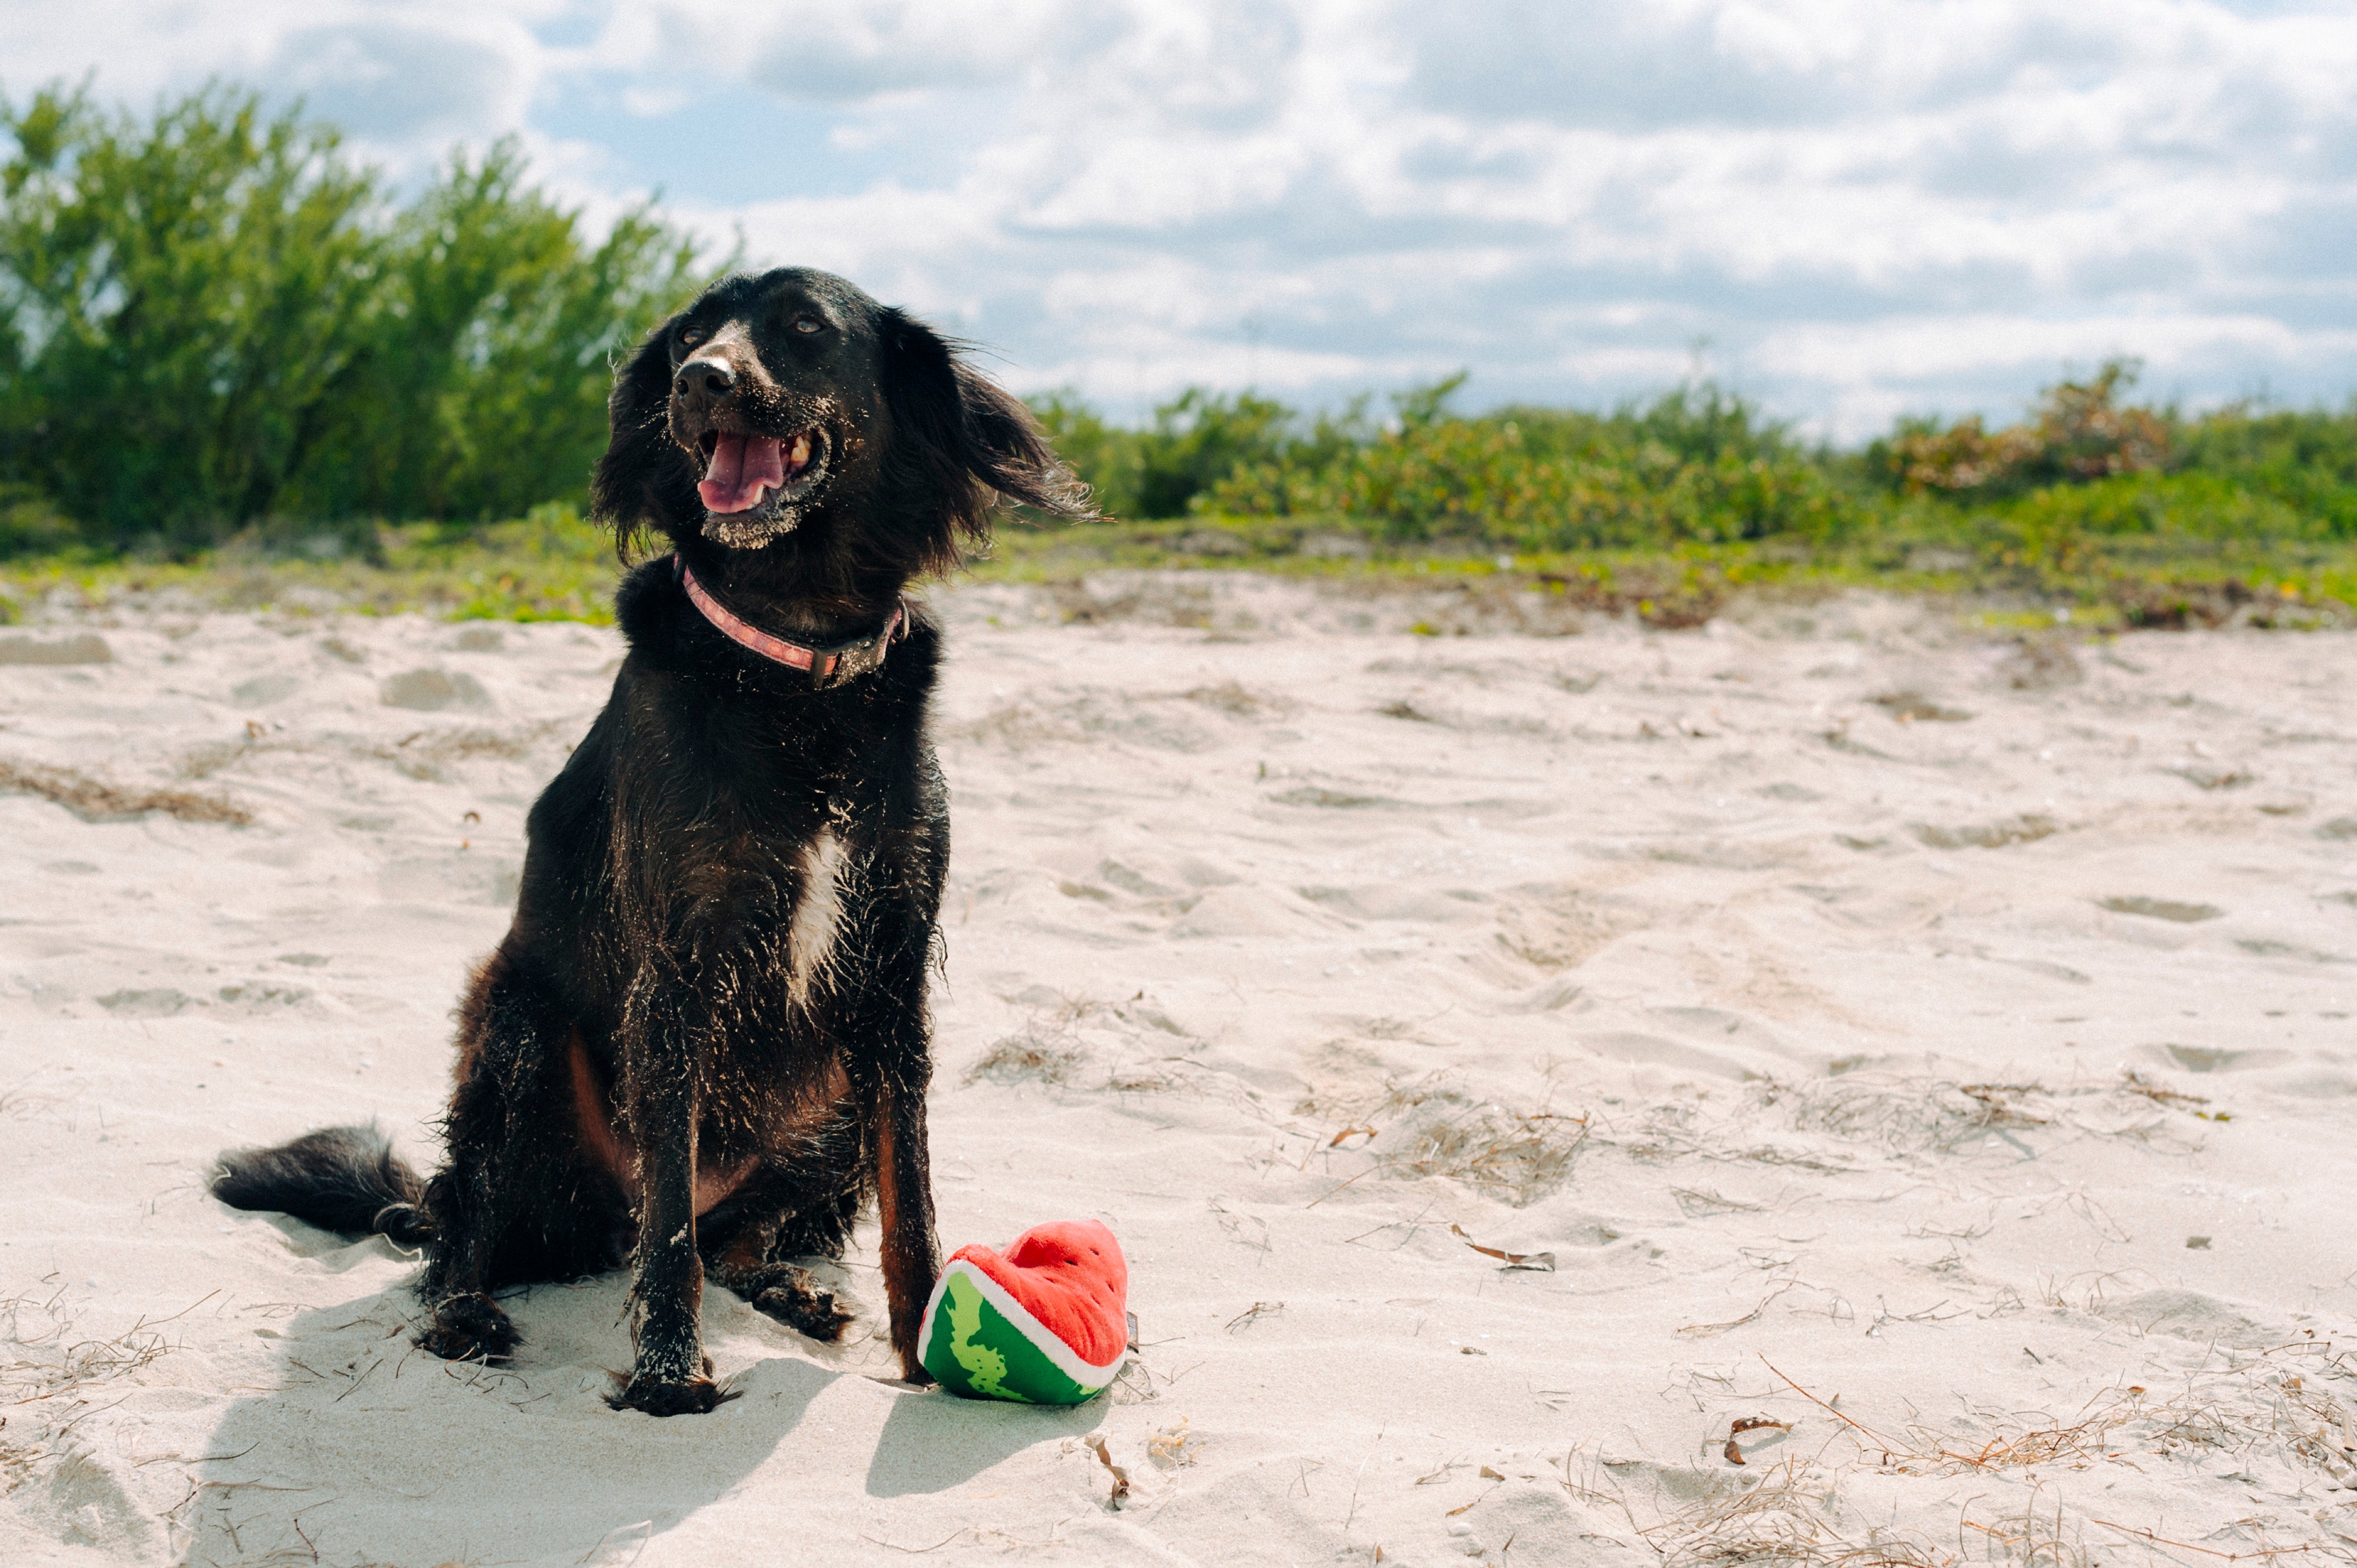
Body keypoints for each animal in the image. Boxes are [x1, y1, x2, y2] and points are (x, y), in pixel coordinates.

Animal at [210, 263, 1084, 1414]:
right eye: (686, 338)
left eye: (804, 327)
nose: (699, 382)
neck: (795, 662)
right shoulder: (677, 969)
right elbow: (667, 1225)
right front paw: (671, 1374)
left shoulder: (893, 977)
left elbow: (914, 1205)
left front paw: (926, 1358)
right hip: (518, 1035)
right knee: (466, 1233)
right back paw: (468, 1315)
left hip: (829, 1104)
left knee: (740, 1233)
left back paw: (793, 1288)